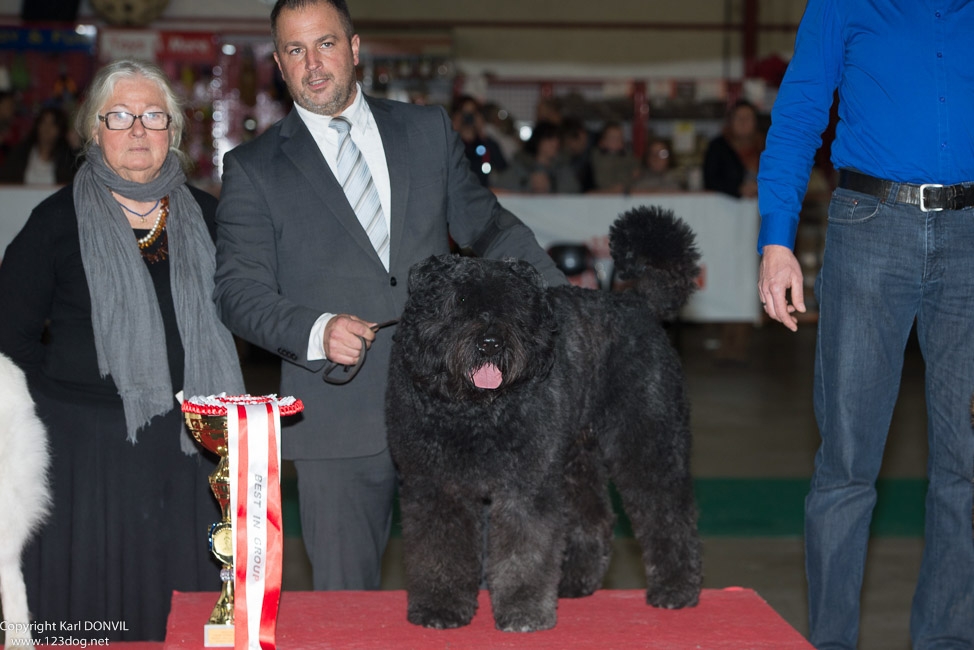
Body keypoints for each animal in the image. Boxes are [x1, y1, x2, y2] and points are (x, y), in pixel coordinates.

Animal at [386, 206, 700, 628]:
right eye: (459, 299)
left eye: (514, 304)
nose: (490, 342)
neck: (472, 411)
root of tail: (639, 302)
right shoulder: (436, 484)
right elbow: (439, 550)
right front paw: (440, 605)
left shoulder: (526, 484)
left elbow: (525, 549)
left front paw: (523, 609)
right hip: (575, 457)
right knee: (593, 517)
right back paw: (574, 581)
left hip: (649, 439)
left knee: (667, 510)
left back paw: (676, 589)